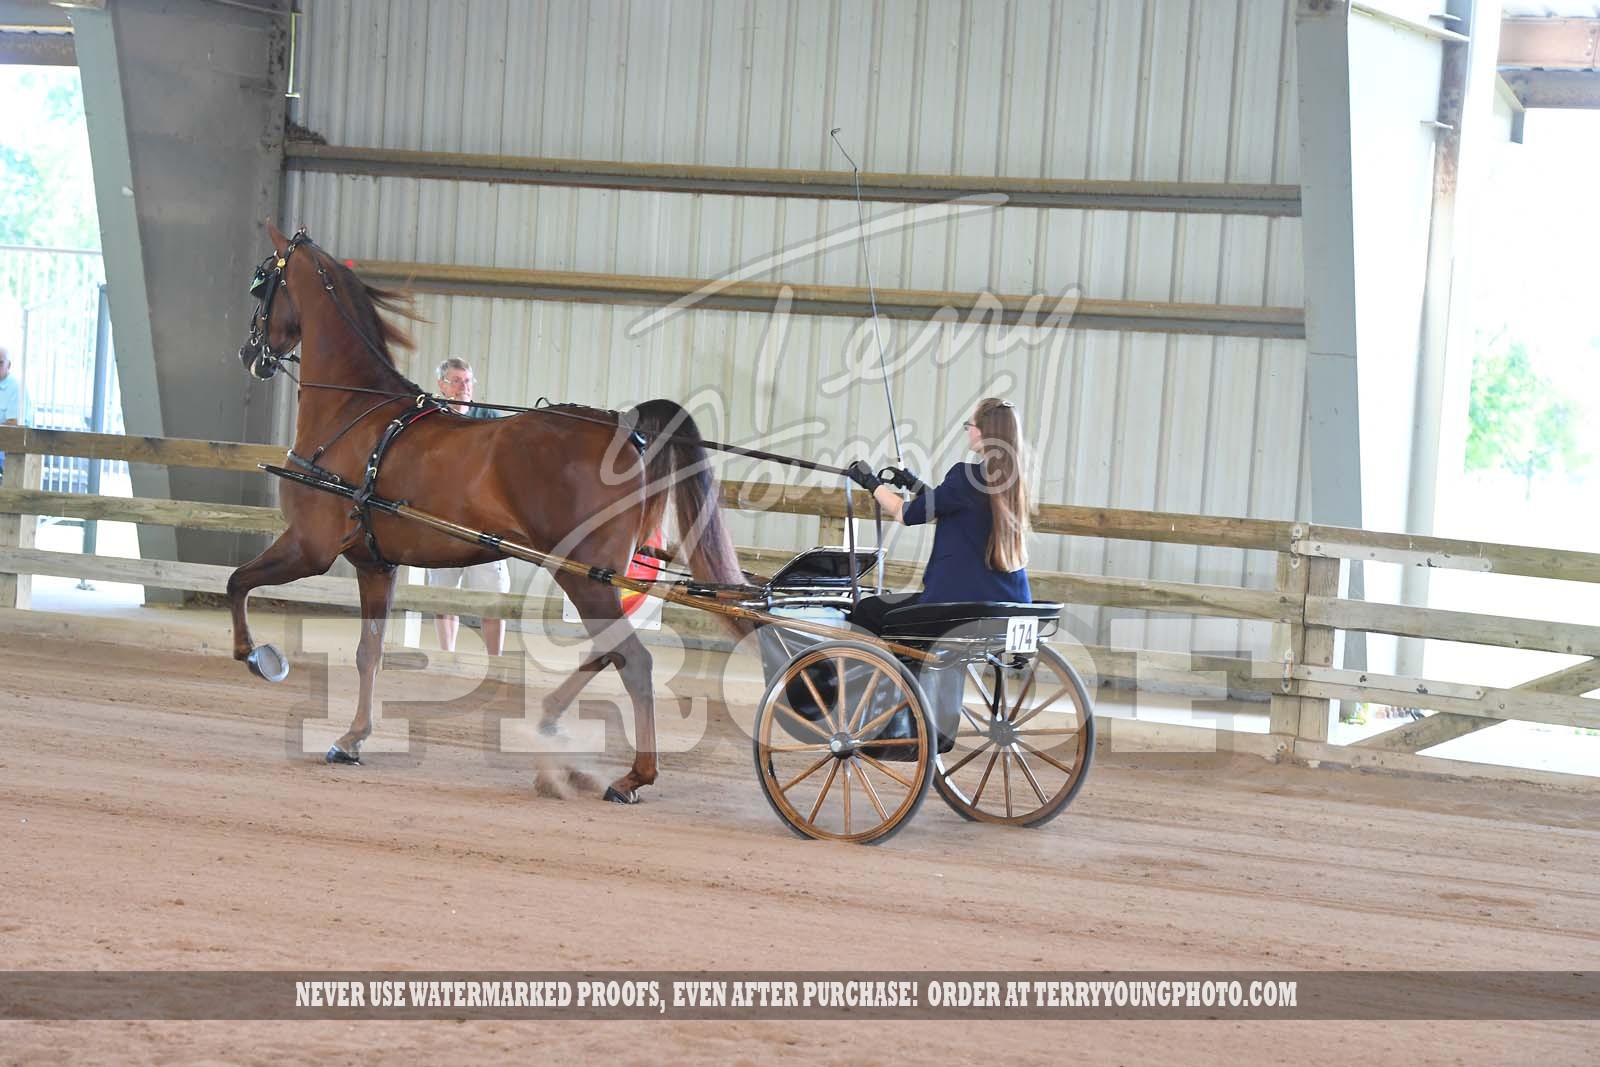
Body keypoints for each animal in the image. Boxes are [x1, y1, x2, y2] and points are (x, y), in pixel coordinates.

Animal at [226, 221, 746, 803]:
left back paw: (633, 775)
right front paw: (353, 738)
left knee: (633, 660)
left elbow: (237, 581)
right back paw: (552, 730)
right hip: (592, 576)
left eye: (261, 283)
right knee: (607, 652)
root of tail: (621, 425)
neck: (352, 409)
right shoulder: (375, 564)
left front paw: (254, 654)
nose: (250, 353)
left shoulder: (308, 547)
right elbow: (369, 652)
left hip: (582, 576)